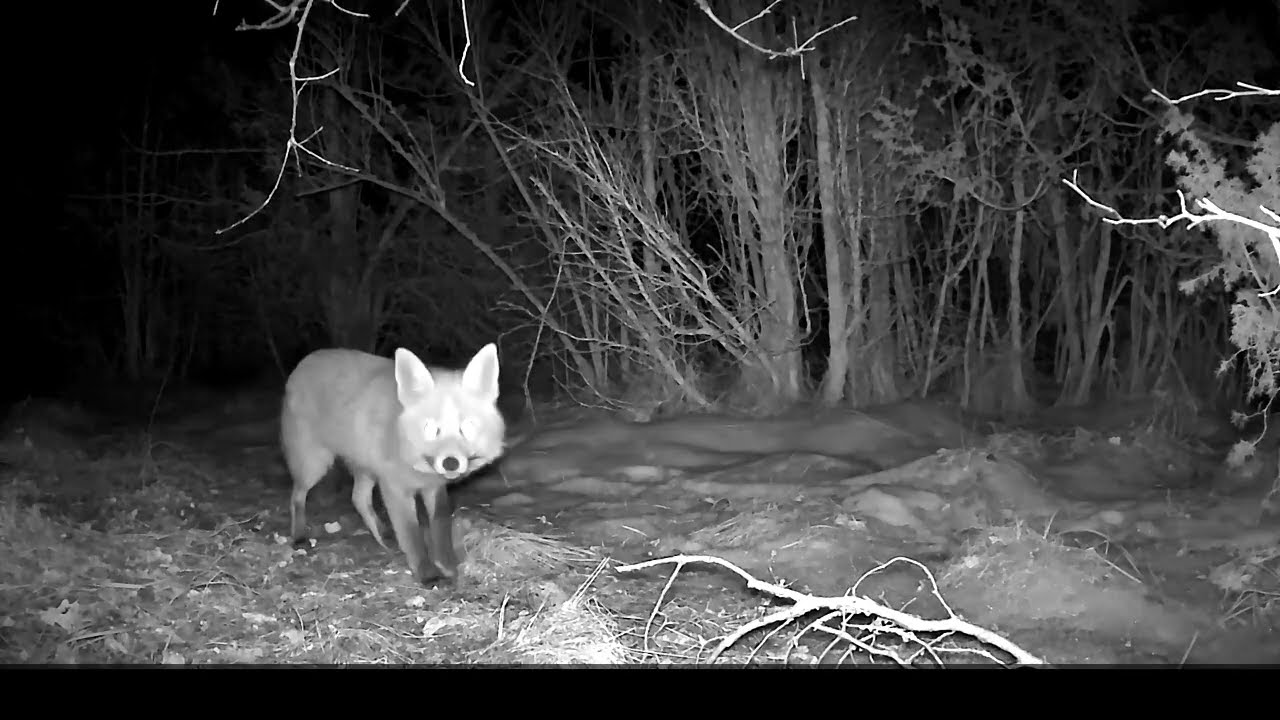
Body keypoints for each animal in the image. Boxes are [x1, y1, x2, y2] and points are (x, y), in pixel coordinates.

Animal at [280, 342, 505, 586]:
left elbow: (440, 526)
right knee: (296, 496)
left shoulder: (433, 486)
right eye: (430, 429)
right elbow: (411, 533)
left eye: (467, 427)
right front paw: (427, 574)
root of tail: (306, 361)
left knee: (358, 498)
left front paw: (447, 566)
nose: (451, 463)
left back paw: (384, 537)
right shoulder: (395, 488)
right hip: (315, 466)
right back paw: (299, 535)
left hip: (366, 469)